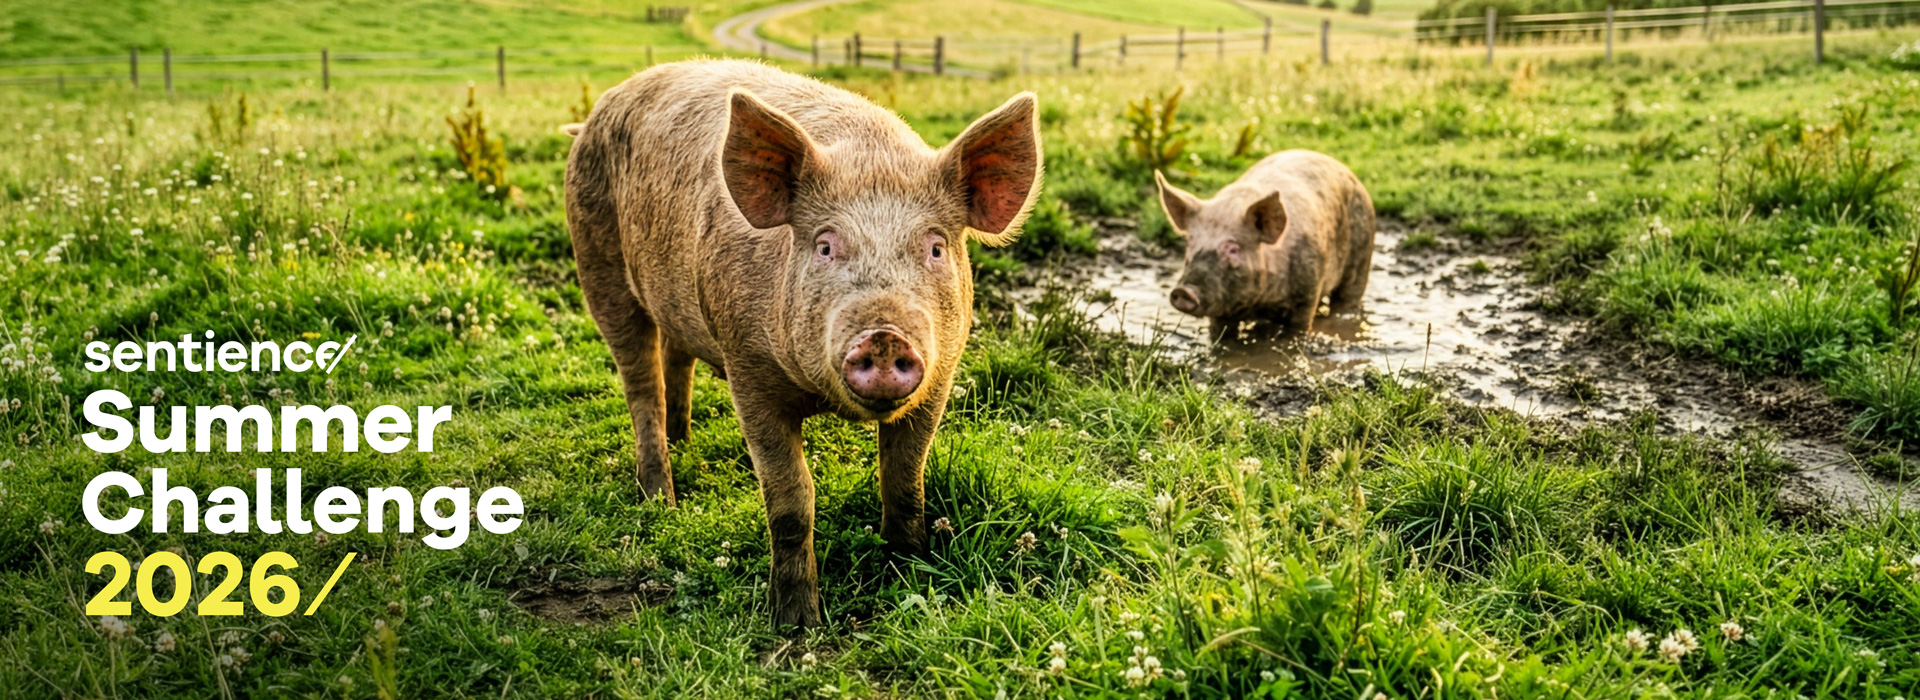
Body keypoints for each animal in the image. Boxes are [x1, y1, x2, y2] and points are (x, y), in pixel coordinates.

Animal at [564, 59, 1042, 628]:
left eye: (935, 248)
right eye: (825, 246)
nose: (884, 336)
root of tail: (599, 111)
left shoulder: (940, 375)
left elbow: (905, 480)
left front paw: (908, 572)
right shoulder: (747, 368)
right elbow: (791, 500)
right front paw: (796, 621)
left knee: (676, 357)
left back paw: (684, 440)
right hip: (597, 264)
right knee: (641, 384)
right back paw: (663, 500)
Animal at [1154, 150, 1375, 340]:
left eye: (1233, 249)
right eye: (1190, 243)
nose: (1184, 291)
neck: (1260, 302)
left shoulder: (1306, 295)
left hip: (1361, 257)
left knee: (1348, 299)